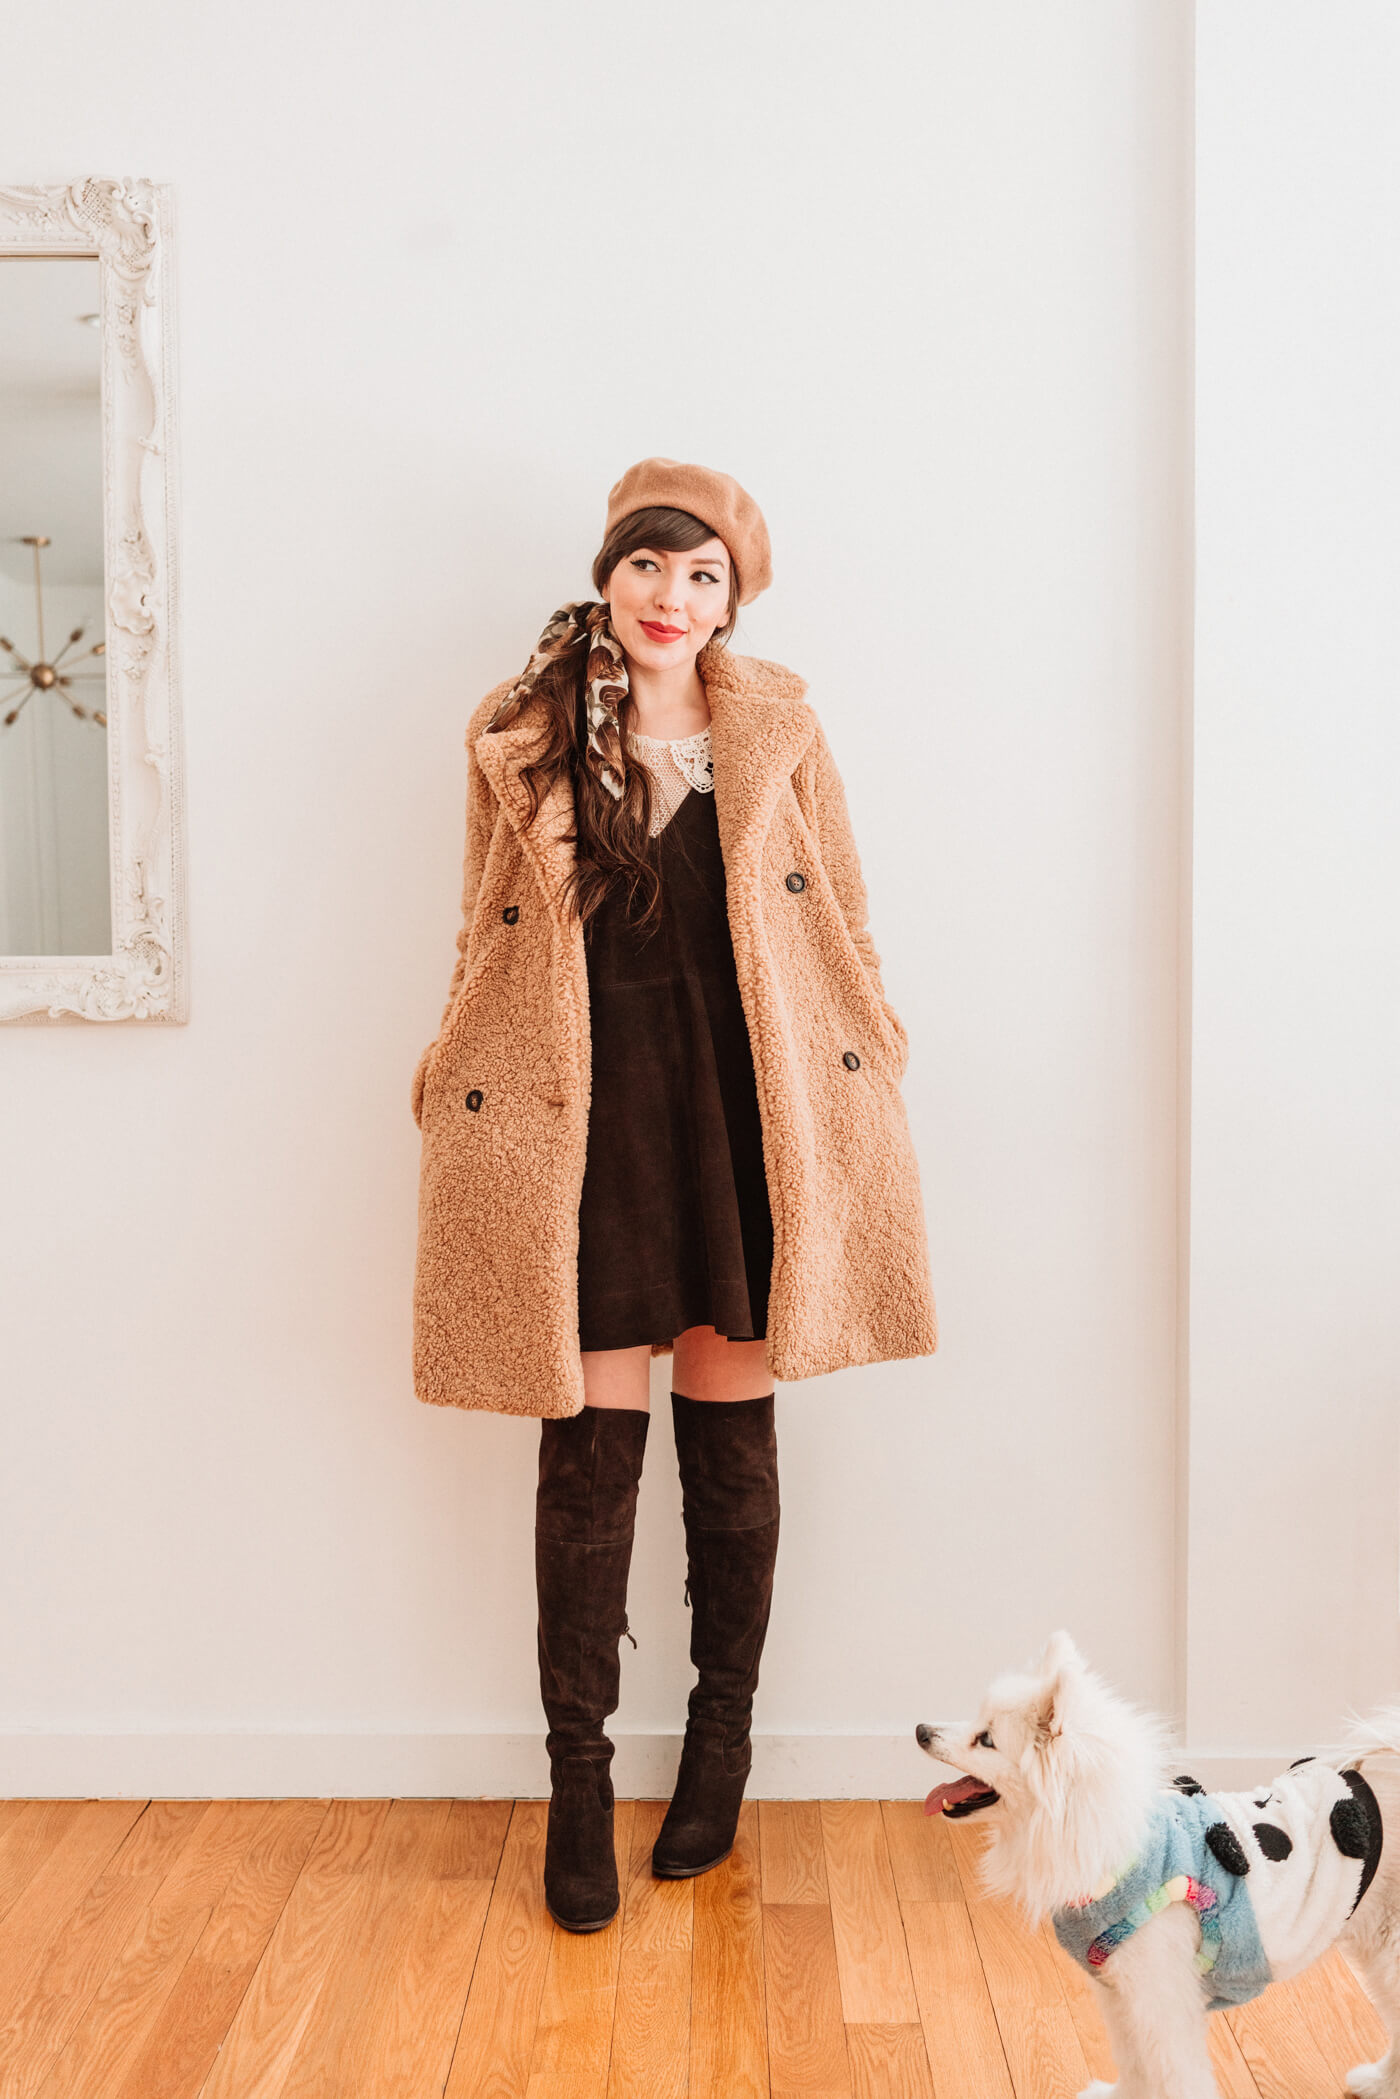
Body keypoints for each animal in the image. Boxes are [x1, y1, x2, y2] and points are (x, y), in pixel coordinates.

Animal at [915, 1628, 1400, 2099]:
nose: (920, 1729)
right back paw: (1377, 2083)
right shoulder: (1121, 1997)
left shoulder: (1163, 2004)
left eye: (987, 1739)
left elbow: (1175, 2078)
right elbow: (1134, 2066)